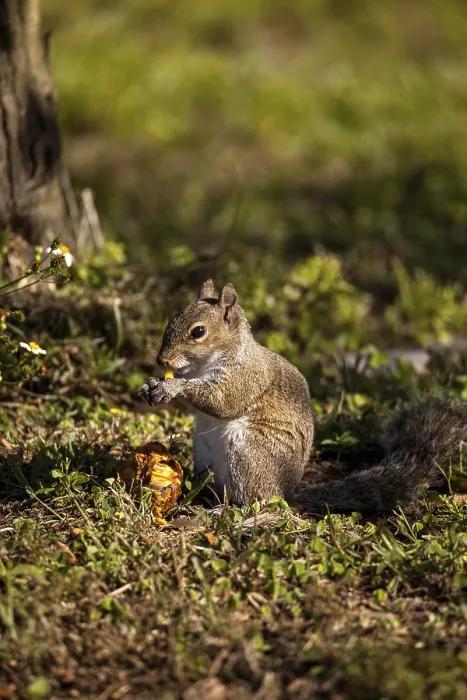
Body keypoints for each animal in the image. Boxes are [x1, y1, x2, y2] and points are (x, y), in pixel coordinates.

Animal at [139, 279, 467, 515]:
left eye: (198, 332)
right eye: (173, 319)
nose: (160, 358)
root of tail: (286, 491)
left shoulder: (246, 377)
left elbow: (222, 401)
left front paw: (173, 387)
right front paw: (151, 385)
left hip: (249, 453)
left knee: (259, 502)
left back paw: (229, 511)